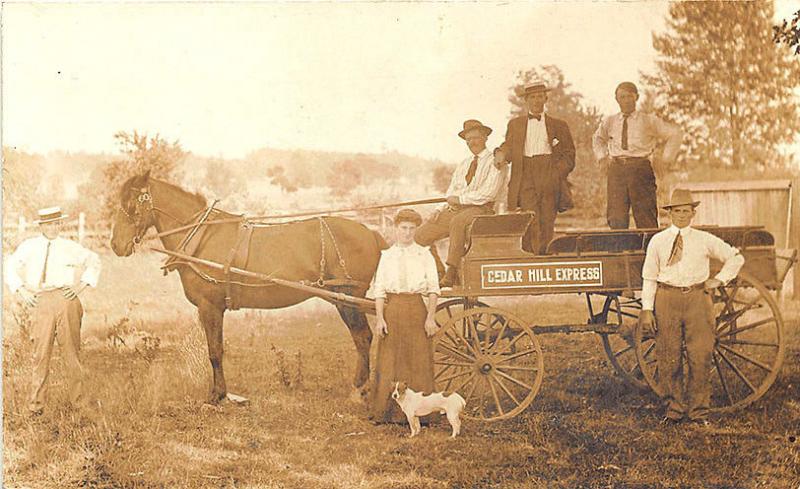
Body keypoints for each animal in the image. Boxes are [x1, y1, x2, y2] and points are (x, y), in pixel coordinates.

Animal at [111, 172, 386, 404]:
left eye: (132, 203)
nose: (116, 245)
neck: (201, 237)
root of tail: (371, 233)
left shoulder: (210, 307)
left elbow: (215, 351)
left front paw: (217, 395)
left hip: (347, 297)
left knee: (363, 337)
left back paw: (359, 389)